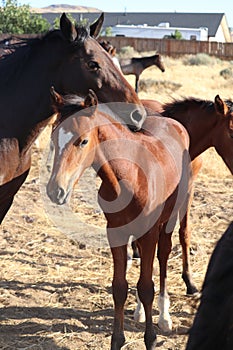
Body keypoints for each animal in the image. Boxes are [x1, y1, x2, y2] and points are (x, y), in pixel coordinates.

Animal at [46, 89, 191, 348]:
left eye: (83, 141)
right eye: (53, 139)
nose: (56, 191)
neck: (129, 175)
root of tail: (174, 123)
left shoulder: (149, 231)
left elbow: (146, 287)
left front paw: (150, 339)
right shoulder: (115, 232)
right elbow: (120, 287)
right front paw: (117, 339)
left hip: (170, 218)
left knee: (163, 255)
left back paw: (164, 317)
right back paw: (140, 312)